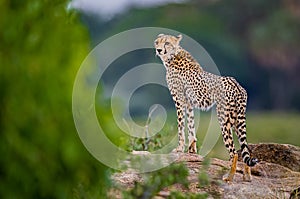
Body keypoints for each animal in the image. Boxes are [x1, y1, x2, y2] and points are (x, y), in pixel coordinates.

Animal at [155, 33, 258, 182]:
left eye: (167, 43)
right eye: (157, 42)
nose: (158, 50)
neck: (172, 56)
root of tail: (237, 85)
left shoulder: (179, 100)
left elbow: (181, 126)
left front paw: (179, 148)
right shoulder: (188, 102)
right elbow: (191, 124)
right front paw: (192, 150)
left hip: (224, 119)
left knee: (234, 152)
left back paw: (229, 177)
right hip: (236, 120)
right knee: (246, 149)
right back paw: (247, 176)